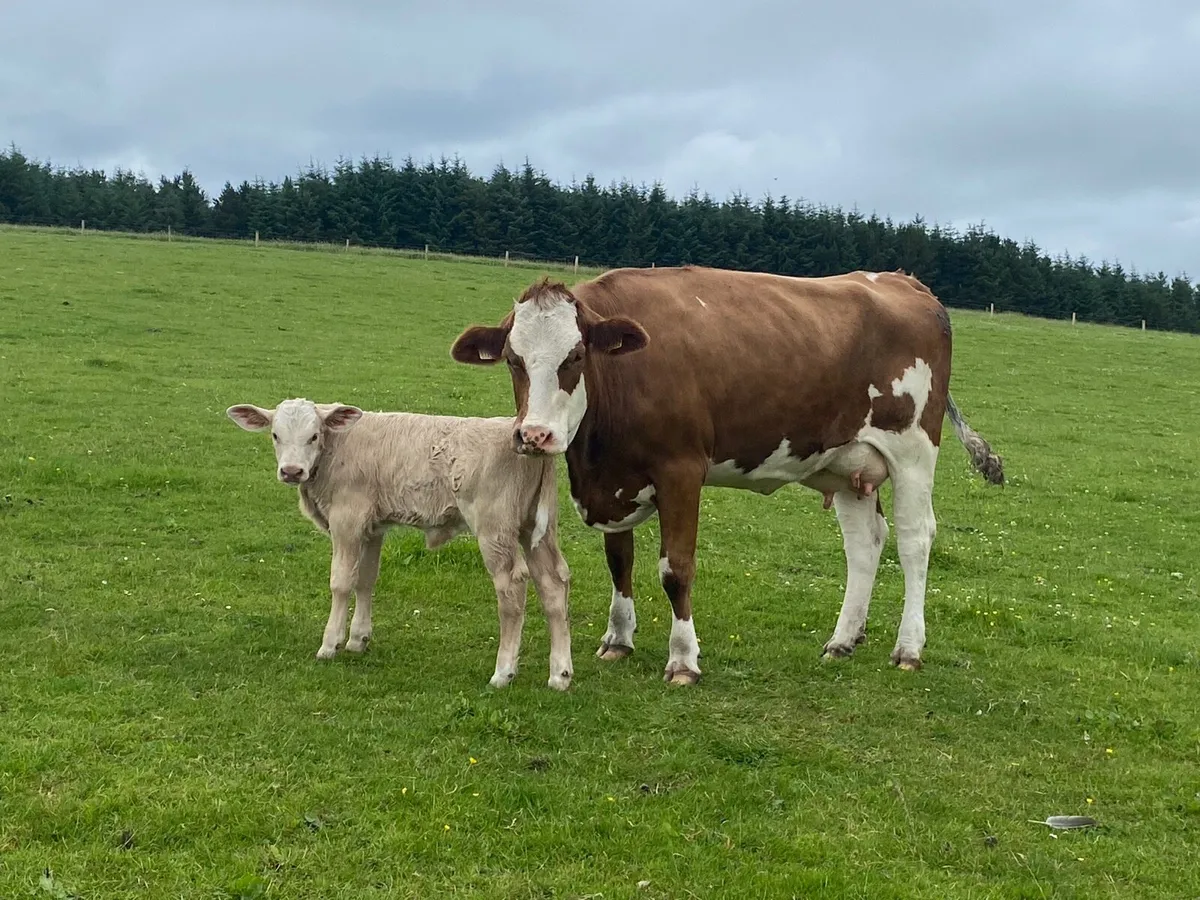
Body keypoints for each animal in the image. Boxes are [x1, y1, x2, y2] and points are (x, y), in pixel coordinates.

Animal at [226, 398, 574, 690]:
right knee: (553, 584)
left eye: (313, 436)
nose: (291, 471)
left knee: (512, 587)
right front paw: (358, 639)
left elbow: (341, 582)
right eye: (275, 435)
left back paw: (503, 672)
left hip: (495, 530)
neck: (336, 449)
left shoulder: (347, 520)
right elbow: (366, 579)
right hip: (535, 529)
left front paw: (330, 644)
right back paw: (560, 674)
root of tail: (522, 435)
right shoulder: (372, 527)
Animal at [449, 265, 1004, 685]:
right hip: (848, 463)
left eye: (576, 355)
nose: (535, 435)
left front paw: (683, 660)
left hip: (913, 449)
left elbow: (675, 569)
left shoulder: (681, 470)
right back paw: (842, 641)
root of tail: (906, 282)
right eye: (513, 360)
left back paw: (908, 648)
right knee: (865, 543)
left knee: (914, 539)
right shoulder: (615, 480)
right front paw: (618, 639)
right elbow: (619, 561)